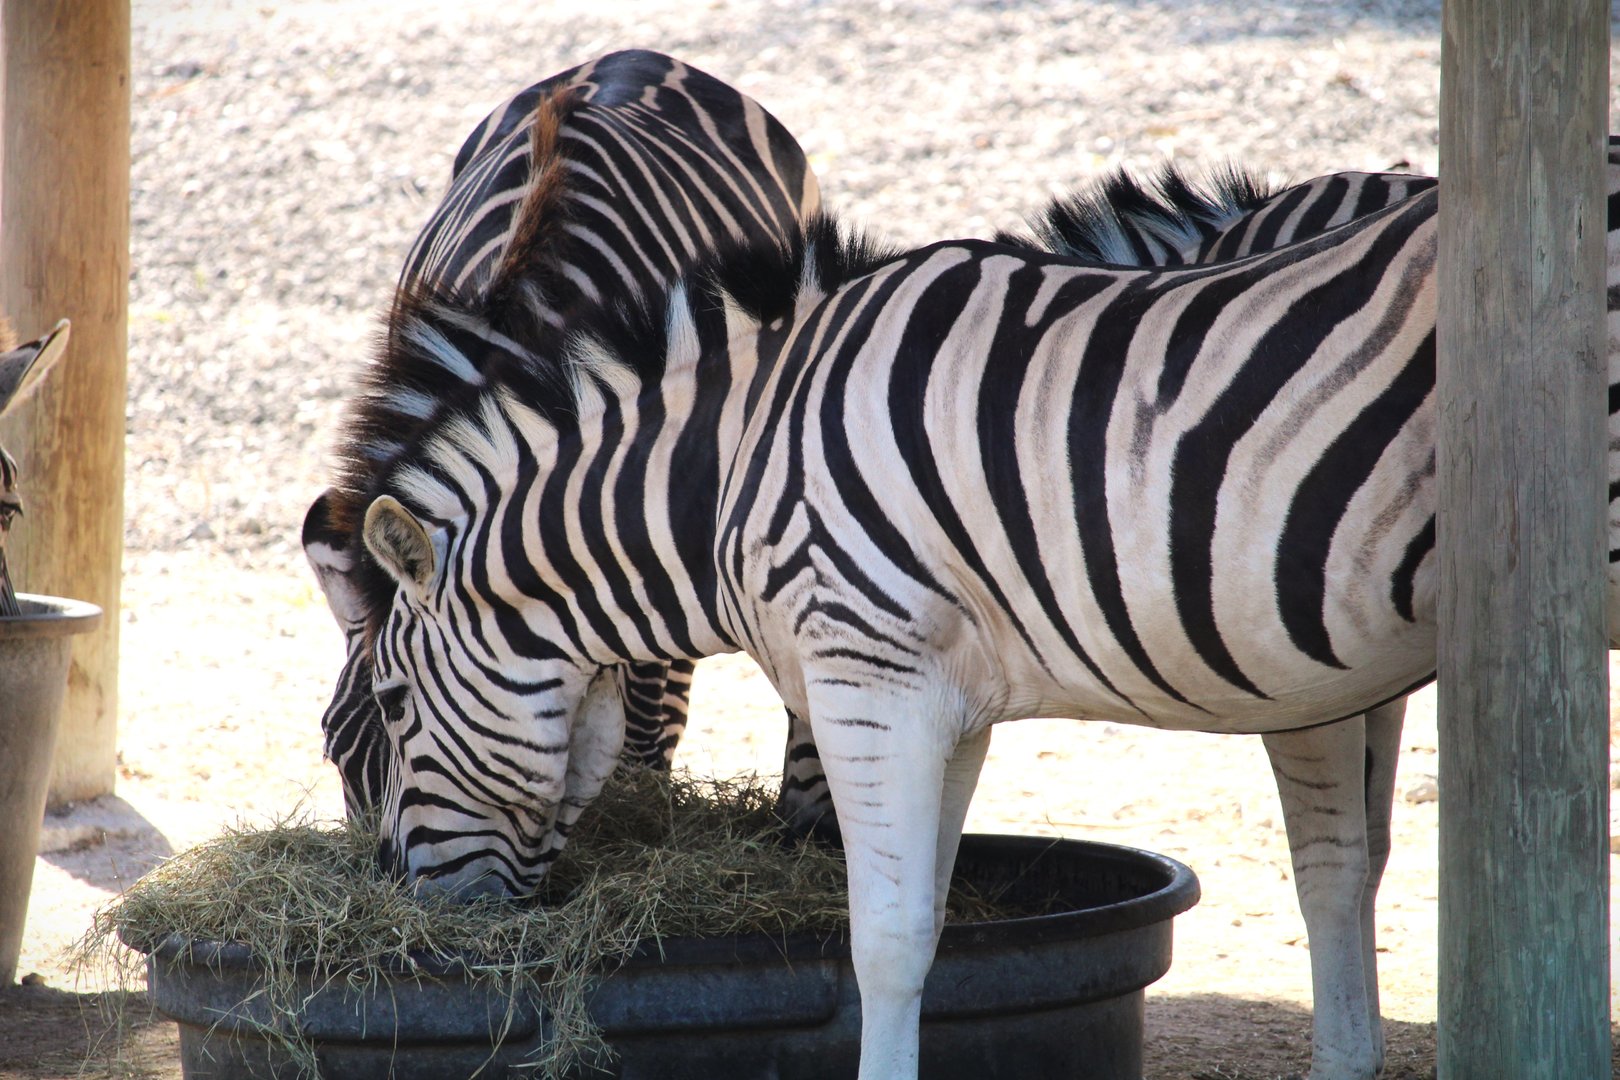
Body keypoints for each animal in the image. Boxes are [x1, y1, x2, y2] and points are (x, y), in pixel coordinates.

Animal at [349, 142, 1619, 1080]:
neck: (734, 466)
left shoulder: (866, 677)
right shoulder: (945, 701)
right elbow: (931, 925)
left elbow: (886, 942)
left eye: (394, 704)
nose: (423, 920)